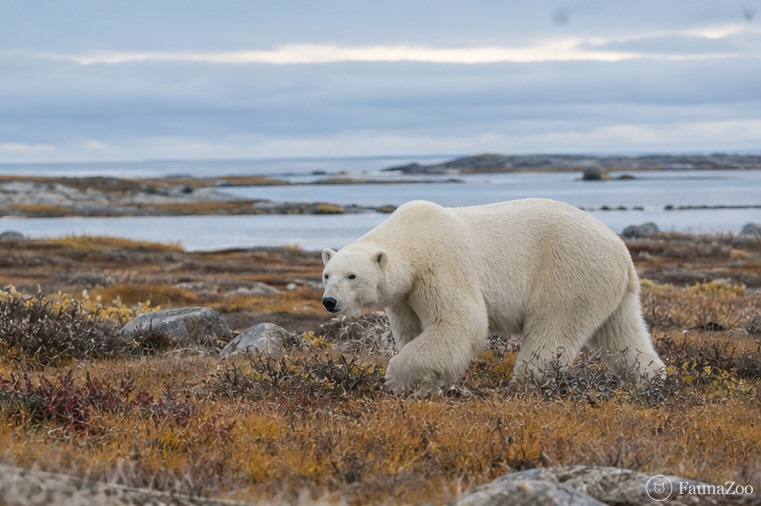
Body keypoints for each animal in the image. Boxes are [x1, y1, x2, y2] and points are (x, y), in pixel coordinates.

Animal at [321, 199, 665, 395]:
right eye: (327, 275)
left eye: (351, 276)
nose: (329, 302)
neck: (413, 237)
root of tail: (622, 250)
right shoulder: (405, 295)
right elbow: (412, 330)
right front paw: (427, 385)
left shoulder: (441, 265)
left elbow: (459, 321)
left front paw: (396, 379)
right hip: (609, 288)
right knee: (622, 334)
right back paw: (651, 378)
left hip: (570, 271)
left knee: (552, 328)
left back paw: (525, 381)